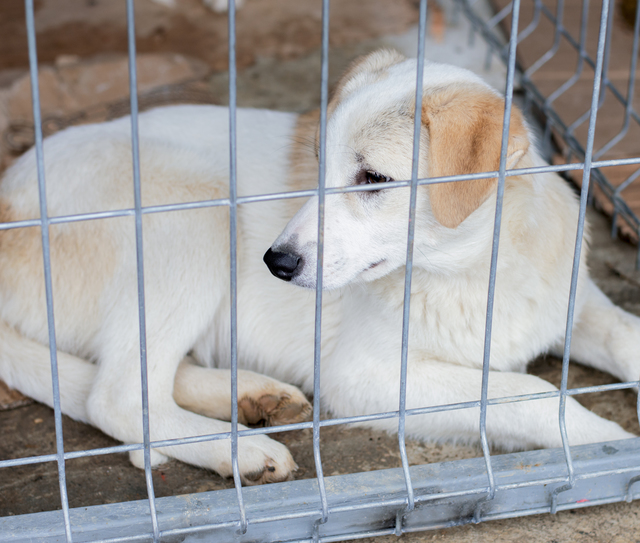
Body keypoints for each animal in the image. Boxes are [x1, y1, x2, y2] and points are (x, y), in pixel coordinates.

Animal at [1, 51, 640, 484]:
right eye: (317, 164)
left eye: (373, 178)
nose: (275, 262)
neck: (475, 269)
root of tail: (9, 201)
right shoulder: (364, 375)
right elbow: (528, 393)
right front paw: (611, 445)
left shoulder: (572, 301)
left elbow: (622, 334)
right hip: (195, 212)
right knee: (116, 395)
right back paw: (240, 450)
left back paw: (254, 397)